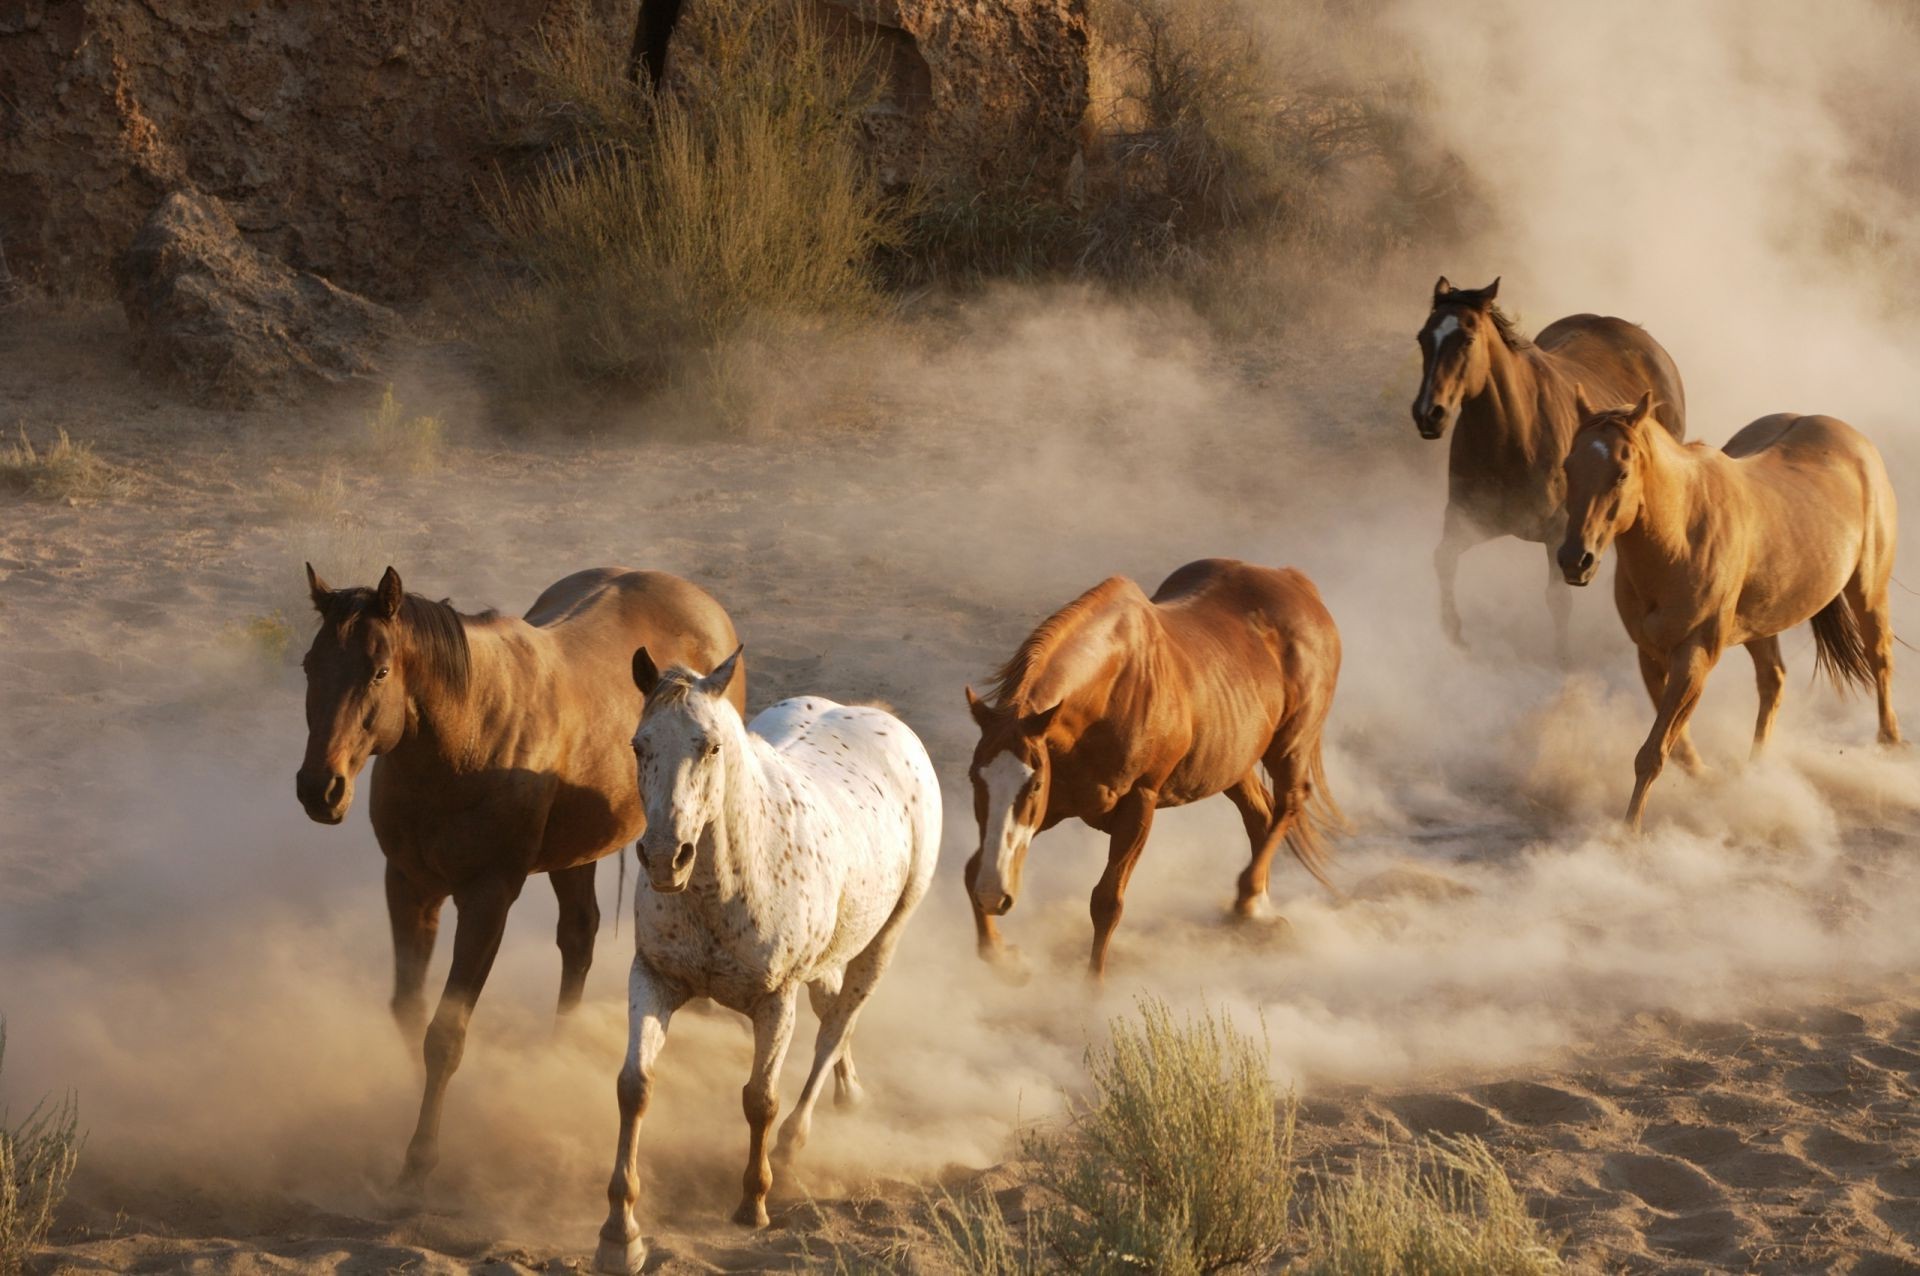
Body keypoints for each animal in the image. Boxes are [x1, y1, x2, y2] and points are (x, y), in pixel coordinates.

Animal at [293, 564, 741, 1189]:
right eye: (310, 666)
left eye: (379, 670)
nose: (319, 789)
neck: (463, 739)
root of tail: (701, 603)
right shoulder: (409, 886)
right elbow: (409, 1010)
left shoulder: (487, 899)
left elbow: (446, 1033)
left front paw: (421, 1156)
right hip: (575, 855)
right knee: (578, 936)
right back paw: (558, 1051)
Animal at [591, 648, 936, 1274]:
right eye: (638, 745)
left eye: (710, 746)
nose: (665, 858)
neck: (723, 885)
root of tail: (881, 718)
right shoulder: (653, 979)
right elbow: (635, 1087)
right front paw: (619, 1234)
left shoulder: (775, 1001)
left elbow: (760, 1099)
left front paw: (753, 1203)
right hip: (832, 953)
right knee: (833, 1012)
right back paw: (850, 1093)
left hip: (884, 940)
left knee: (836, 1028)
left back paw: (796, 1141)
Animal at [960, 556, 1351, 974]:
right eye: (974, 780)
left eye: (1033, 784)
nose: (994, 895)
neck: (1110, 692)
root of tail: (1296, 583)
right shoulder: (1055, 806)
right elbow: (972, 869)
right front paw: (1005, 959)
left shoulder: (1138, 804)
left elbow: (1107, 902)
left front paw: (1092, 986)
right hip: (1234, 761)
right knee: (1260, 815)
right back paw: (1256, 908)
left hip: (1290, 745)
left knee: (1289, 802)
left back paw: (1248, 901)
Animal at [1405, 276, 1689, 656]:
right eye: (1424, 337)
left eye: (1467, 339)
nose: (1428, 414)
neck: (1513, 436)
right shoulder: (1467, 519)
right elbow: (1444, 559)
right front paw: (1453, 634)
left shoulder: (1560, 535)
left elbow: (1558, 599)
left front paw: (1561, 657)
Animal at [1559, 393, 1904, 832]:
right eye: (1568, 467)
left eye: (1621, 473)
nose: (1575, 561)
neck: (1680, 537)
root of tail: (1854, 441)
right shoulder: (1650, 654)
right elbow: (1674, 748)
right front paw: (1708, 780)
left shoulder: (1696, 655)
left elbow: (1653, 753)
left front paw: (1628, 833)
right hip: (1762, 623)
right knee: (1773, 681)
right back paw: (1755, 771)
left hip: (1868, 590)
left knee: (1880, 658)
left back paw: (1889, 745)